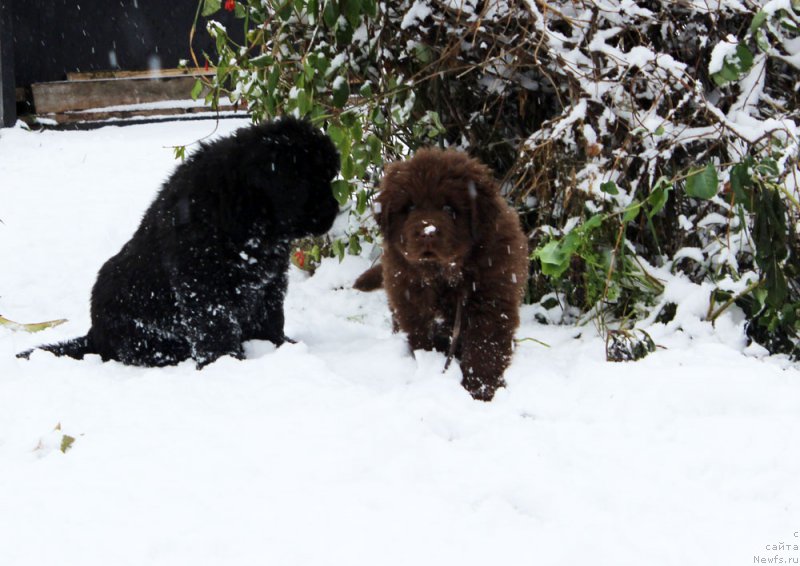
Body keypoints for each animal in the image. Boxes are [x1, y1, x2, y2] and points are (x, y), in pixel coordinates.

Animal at [18, 117, 338, 370]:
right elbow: (216, 330)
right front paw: (227, 363)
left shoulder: (269, 281)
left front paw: (276, 347)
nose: (334, 211)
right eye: (309, 180)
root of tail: (93, 335)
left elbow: (270, 319)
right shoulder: (205, 285)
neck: (242, 206)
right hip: (140, 333)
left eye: (329, 177)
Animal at [356, 149, 532, 402]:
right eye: (410, 208)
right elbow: (424, 341)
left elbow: (485, 348)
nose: (427, 232)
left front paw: (481, 391)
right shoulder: (414, 305)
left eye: (449, 209)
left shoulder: (492, 301)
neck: (445, 275)